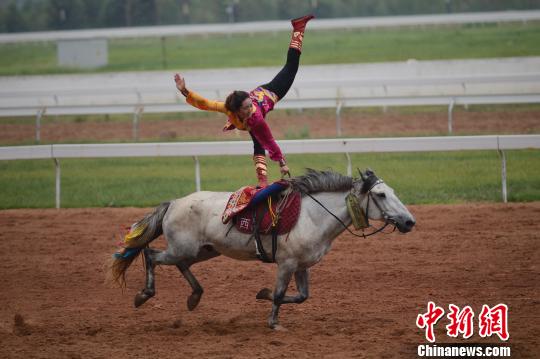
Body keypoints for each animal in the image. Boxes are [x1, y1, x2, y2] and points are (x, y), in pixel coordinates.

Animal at [108, 170, 414, 330]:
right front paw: (273, 322)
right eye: (381, 195)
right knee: (151, 255)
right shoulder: (286, 264)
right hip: (182, 248)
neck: (312, 215)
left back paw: (194, 296)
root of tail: (173, 202)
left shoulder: (302, 265)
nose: (409, 221)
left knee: (179, 265)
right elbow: (279, 294)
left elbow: (302, 296)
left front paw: (262, 294)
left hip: (203, 250)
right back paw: (144, 294)